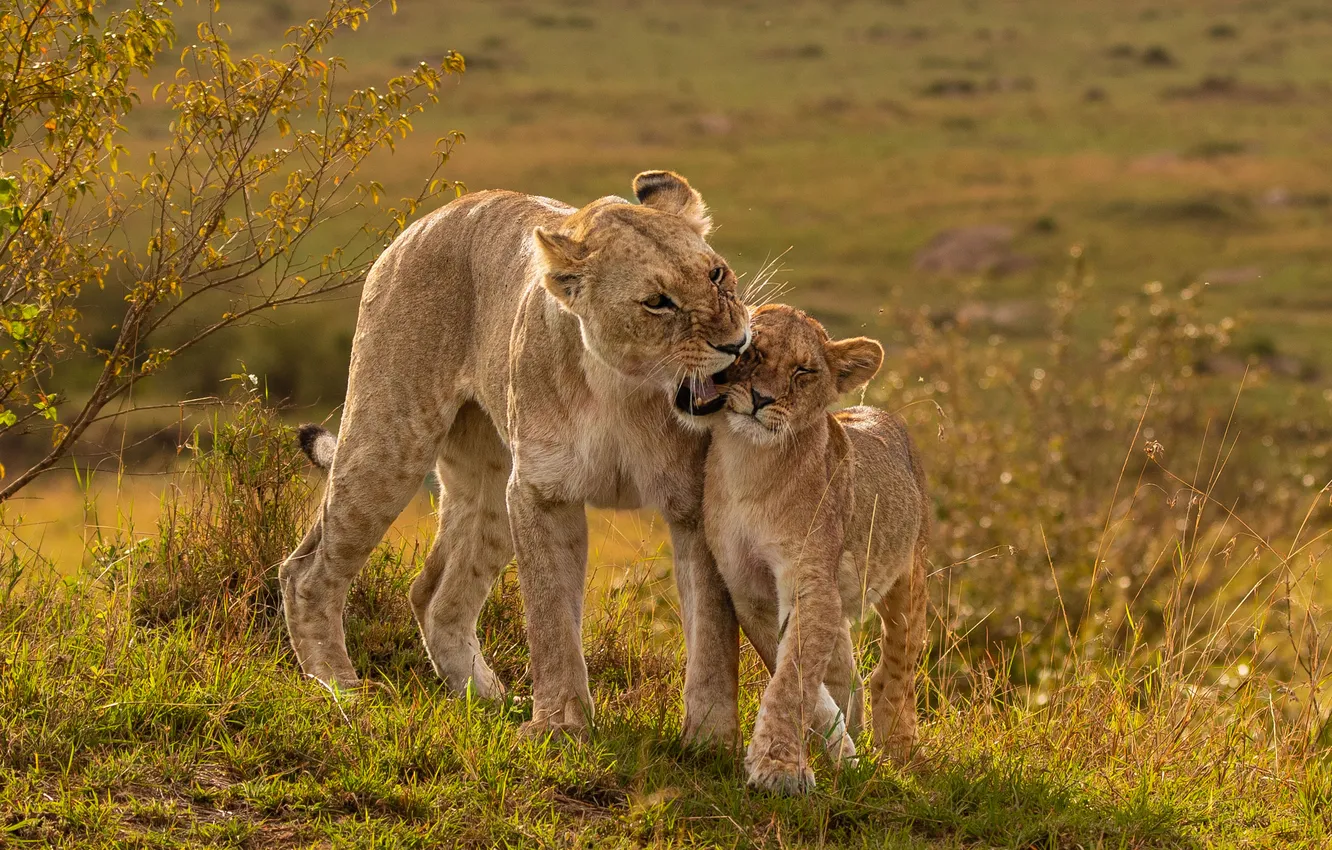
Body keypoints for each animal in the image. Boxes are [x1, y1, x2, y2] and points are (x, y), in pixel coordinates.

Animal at [281, 171, 751, 742]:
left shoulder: (690, 502)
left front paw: (710, 740)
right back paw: (339, 687)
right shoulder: (541, 494)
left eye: (716, 273)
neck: (624, 389)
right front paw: (561, 726)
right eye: (657, 302)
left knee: (432, 593)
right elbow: (550, 618)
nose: (736, 344)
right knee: (306, 572)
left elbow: (711, 630)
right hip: (391, 440)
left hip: (489, 489)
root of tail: (425, 221)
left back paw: (484, 698)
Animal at [701, 304, 930, 793]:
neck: (751, 464)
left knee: (896, 669)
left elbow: (792, 682)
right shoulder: (749, 589)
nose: (761, 398)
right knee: (851, 674)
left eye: (803, 371)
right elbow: (800, 676)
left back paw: (898, 748)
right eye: (753, 352)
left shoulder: (810, 580)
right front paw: (839, 749)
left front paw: (779, 769)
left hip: (910, 580)